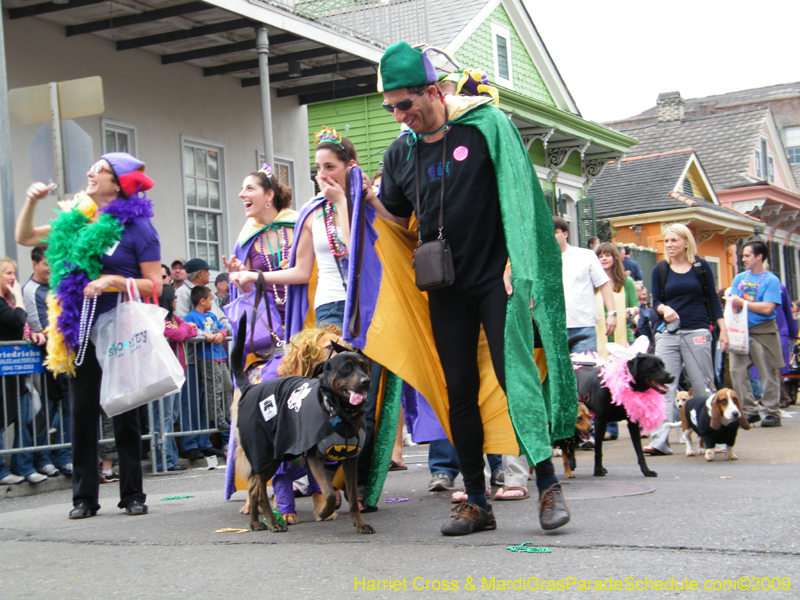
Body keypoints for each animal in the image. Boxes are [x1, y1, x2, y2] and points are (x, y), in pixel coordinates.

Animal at [228, 316, 372, 532]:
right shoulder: (313, 455)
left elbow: (348, 496)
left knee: (255, 487)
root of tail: (249, 388)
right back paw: (272, 522)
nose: (366, 381)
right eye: (345, 368)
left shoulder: (349, 459)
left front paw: (357, 523)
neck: (337, 409)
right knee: (257, 487)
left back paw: (255, 522)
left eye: (363, 365)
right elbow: (327, 491)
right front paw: (315, 511)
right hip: (264, 455)